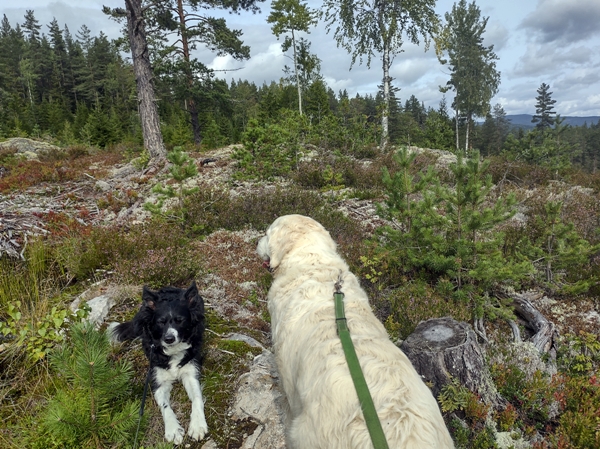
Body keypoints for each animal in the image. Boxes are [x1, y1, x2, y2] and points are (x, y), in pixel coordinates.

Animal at [108, 282, 209, 442]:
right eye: (161, 322)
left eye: (180, 320)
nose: (169, 339)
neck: (173, 351)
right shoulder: (157, 379)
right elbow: (165, 405)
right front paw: (173, 429)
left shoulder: (191, 372)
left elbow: (197, 398)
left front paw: (197, 424)